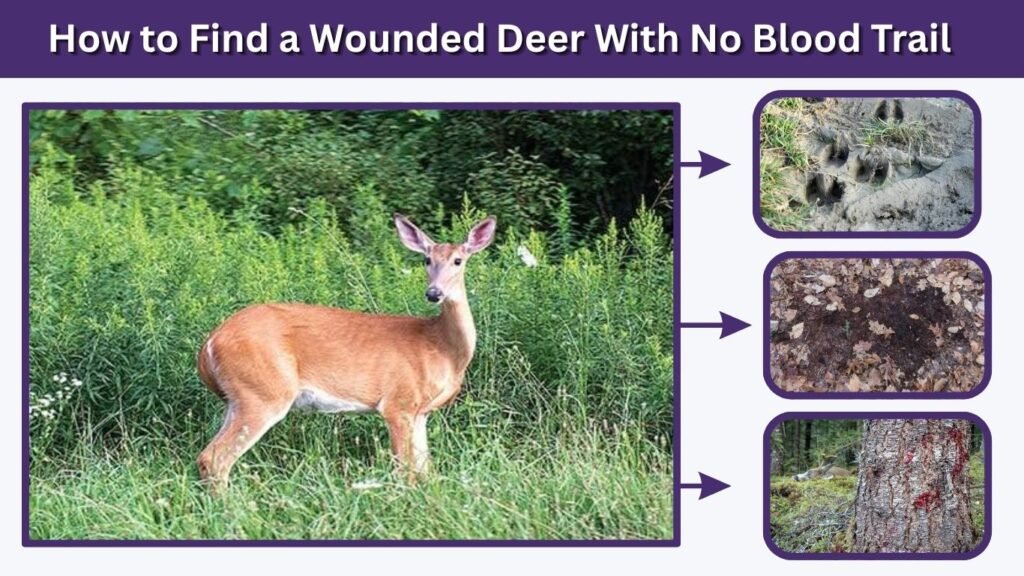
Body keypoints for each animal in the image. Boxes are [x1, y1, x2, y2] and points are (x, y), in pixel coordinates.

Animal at [195, 213, 497, 491]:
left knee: (206, 457)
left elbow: (426, 471)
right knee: (216, 458)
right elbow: (405, 473)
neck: (441, 346)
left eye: (458, 260)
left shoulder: (421, 412)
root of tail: (210, 342)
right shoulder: (398, 403)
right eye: (426, 260)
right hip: (264, 391)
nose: (434, 293)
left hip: (238, 398)